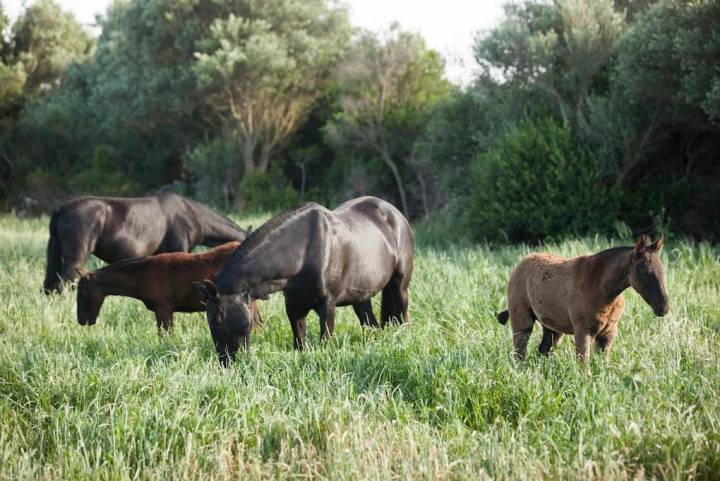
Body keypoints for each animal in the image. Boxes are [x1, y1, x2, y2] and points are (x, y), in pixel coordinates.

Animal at [195, 195, 416, 364]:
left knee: (403, 314)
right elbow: (299, 342)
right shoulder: (294, 307)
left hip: (400, 286)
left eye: (216, 321)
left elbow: (325, 340)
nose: (226, 362)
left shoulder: (327, 305)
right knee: (370, 325)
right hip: (361, 297)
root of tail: (396, 215)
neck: (304, 252)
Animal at [496, 234, 668, 362]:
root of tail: (520, 264)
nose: (663, 307)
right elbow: (584, 366)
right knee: (519, 352)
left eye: (663, 271)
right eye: (645, 272)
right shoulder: (583, 332)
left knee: (543, 350)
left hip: (552, 328)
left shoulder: (608, 333)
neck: (601, 288)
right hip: (522, 321)